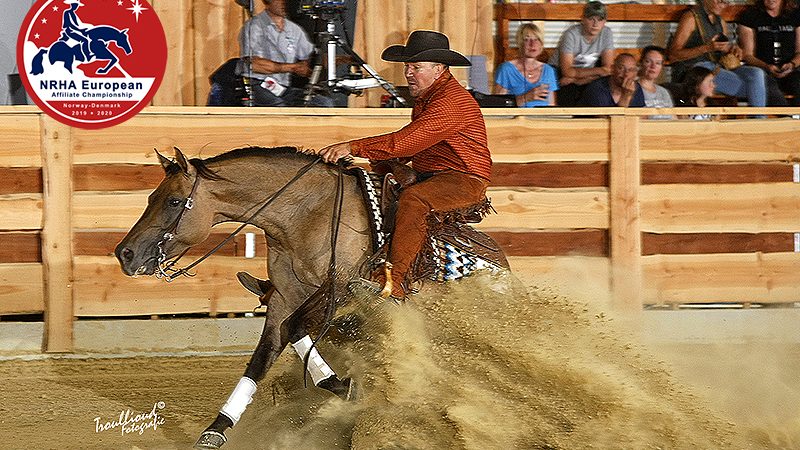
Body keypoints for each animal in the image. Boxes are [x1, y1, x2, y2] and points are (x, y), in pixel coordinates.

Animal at [115, 147, 510, 446]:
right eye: (151, 197)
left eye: (174, 201)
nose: (125, 254)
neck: (306, 215)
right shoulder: (284, 297)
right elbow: (268, 351)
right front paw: (217, 429)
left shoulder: (341, 292)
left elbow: (297, 329)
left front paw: (346, 387)